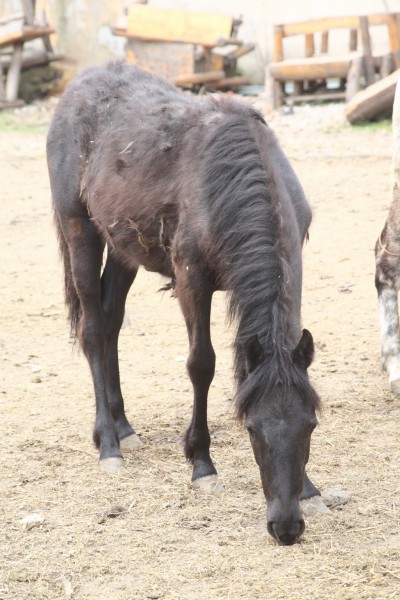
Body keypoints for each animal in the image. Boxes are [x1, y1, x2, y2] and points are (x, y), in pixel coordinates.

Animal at [47, 62, 322, 548]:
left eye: (310, 425)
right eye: (251, 429)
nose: (286, 527)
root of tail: (78, 87)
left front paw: (309, 488)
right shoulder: (192, 279)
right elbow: (202, 364)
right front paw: (201, 462)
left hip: (124, 248)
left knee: (111, 320)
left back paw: (124, 427)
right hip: (79, 229)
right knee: (94, 330)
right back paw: (109, 445)